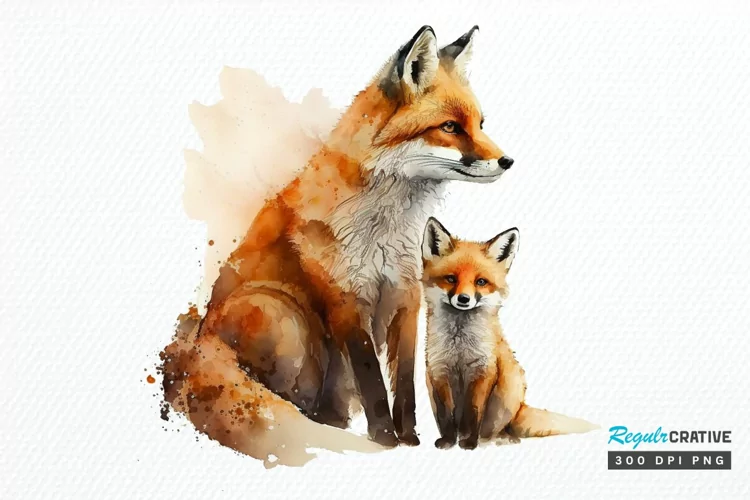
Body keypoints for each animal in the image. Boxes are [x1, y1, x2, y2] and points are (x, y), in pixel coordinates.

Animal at [160, 25, 514, 465]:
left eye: (480, 123)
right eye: (450, 127)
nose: (507, 161)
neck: (385, 226)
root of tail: (195, 346)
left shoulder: (405, 292)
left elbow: (405, 384)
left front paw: (410, 438)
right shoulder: (346, 296)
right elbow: (373, 382)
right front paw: (385, 441)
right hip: (281, 314)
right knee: (281, 402)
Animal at [421, 218, 599, 450]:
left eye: (480, 282)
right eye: (451, 279)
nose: (464, 299)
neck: (459, 346)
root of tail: (521, 406)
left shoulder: (484, 371)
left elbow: (473, 412)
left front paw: (469, 442)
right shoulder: (438, 371)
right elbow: (445, 415)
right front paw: (449, 441)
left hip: (509, 390)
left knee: (500, 428)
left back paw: (500, 439)